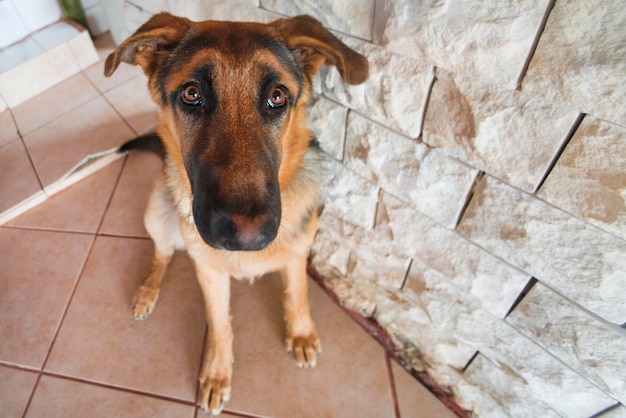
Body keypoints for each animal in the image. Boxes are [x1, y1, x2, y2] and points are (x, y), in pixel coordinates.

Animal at [102, 12, 366, 414]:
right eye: (191, 94)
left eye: (277, 97)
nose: (248, 236)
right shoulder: (209, 273)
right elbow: (220, 324)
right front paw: (217, 371)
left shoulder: (297, 254)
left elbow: (297, 294)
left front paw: (300, 333)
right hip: (157, 209)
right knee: (162, 252)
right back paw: (148, 290)